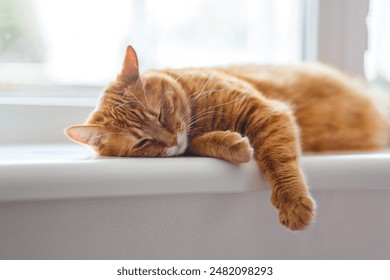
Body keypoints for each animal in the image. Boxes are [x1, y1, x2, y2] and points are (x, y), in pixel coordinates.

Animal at [65, 45, 388, 230]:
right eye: (142, 143)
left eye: (158, 114)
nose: (170, 140)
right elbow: (199, 144)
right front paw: (232, 144)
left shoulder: (266, 112)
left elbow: (279, 161)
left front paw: (292, 202)